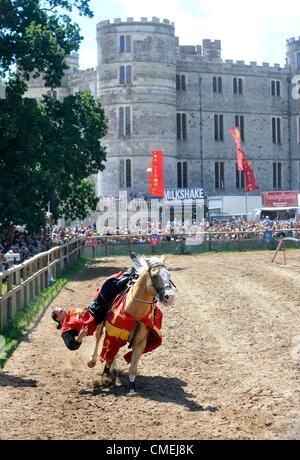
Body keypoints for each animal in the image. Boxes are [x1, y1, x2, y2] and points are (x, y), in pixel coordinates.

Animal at [88, 253, 175, 394]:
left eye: (169, 275)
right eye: (155, 276)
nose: (170, 297)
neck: (133, 311)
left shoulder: (140, 343)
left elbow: (132, 367)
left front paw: (132, 388)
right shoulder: (112, 336)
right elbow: (108, 355)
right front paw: (105, 377)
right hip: (100, 322)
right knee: (98, 337)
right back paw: (92, 360)